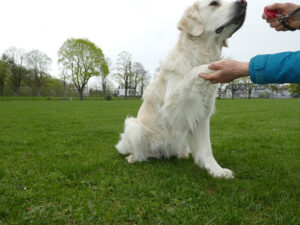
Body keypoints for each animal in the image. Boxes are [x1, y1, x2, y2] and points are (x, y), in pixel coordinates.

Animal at [115, 0, 246, 179]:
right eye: (214, 3)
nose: (244, 3)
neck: (198, 54)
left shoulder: (202, 115)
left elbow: (207, 148)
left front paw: (216, 170)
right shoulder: (172, 103)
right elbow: (195, 71)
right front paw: (220, 64)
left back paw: (181, 154)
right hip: (133, 125)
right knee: (141, 152)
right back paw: (134, 157)